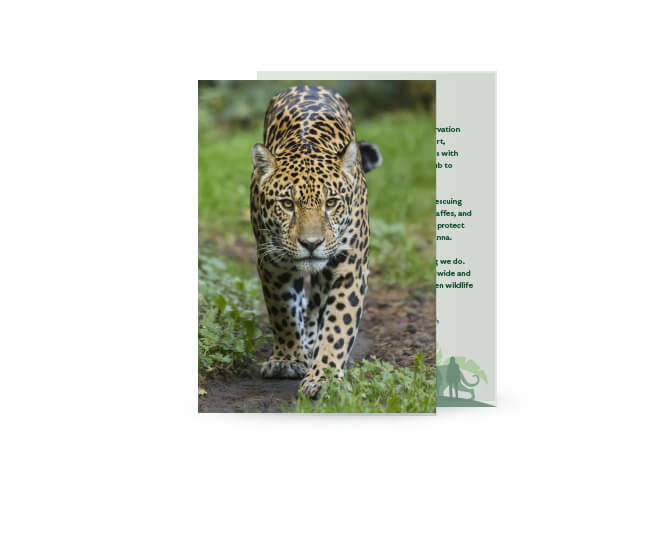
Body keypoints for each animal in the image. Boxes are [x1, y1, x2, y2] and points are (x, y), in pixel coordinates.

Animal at [249, 85, 382, 398]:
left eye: (331, 203)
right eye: (287, 204)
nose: (311, 243)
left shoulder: (350, 267)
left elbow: (338, 324)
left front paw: (325, 377)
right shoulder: (272, 264)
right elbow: (283, 312)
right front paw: (286, 360)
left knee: (318, 304)